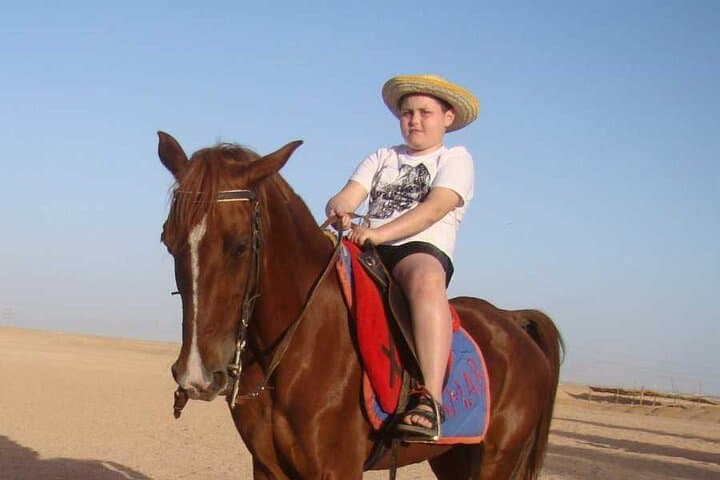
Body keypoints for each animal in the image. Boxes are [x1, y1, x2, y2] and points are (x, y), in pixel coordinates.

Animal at [158, 131, 564, 479]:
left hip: (495, 460)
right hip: (452, 459)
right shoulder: (268, 467)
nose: (196, 374)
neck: (304, 343)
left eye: (240, 245)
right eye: (168, 240)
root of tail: (511, 321)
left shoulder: (338, 469)